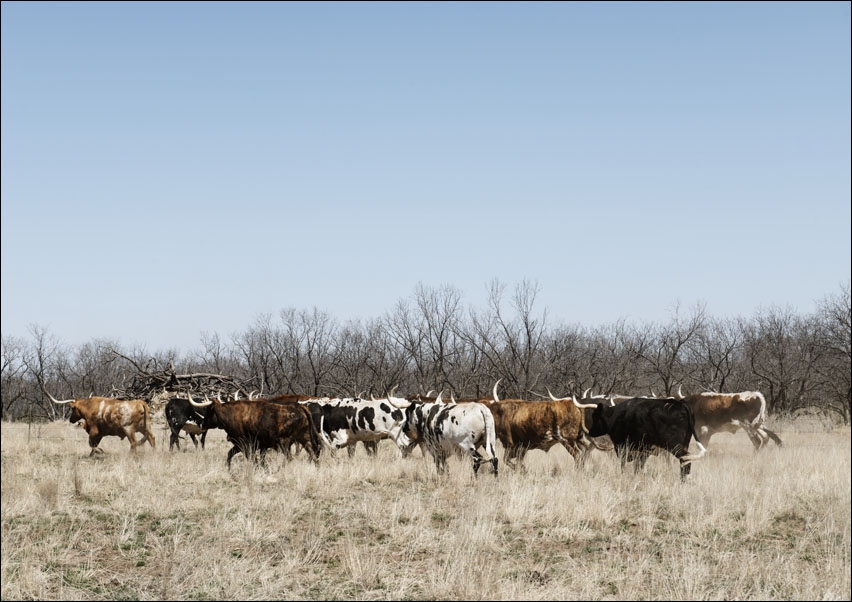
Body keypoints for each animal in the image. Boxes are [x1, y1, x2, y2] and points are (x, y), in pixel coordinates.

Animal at [188, 392, 322, 466]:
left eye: (208, 410)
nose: (202, 424)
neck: (231, 414)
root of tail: (299, 407)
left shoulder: (245, 444)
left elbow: (252, 460)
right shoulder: (241, 445)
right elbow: (230, 455)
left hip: (285, 443)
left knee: (290, 458)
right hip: (305, 439)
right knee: (314, 456)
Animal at [572, 394, 704, 478]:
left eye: (595, 416)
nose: (590, 432)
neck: (618, 416)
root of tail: (680, 404)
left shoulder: (623, 448)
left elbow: (624, 465)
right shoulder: (642, 451)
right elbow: (638, 467)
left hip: (675, 446)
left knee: (685, 459)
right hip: (685, 443)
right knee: (685, 461)